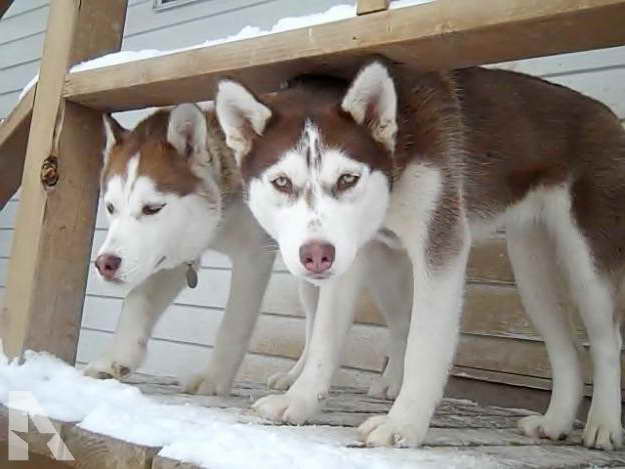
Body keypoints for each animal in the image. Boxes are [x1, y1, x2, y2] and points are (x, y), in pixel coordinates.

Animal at [216, 63, 624, 450]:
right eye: (281, 182)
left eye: (348, 179)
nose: (317, 256)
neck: (397, 161)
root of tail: (607, 115)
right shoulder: (355, 252)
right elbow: (323, 338)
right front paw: (299, 401)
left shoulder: (440, 245)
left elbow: (423, 346)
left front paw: (403, 425)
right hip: (530, 271)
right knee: (566, 347)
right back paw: (555, 421)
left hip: (586, 261)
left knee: (606, 341)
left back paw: (604, 424)